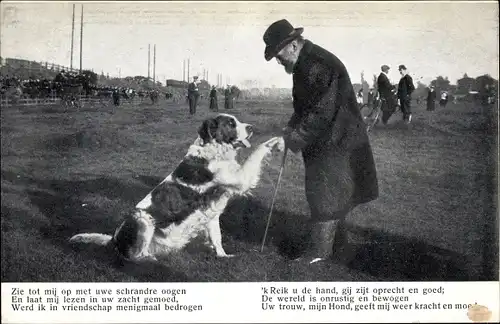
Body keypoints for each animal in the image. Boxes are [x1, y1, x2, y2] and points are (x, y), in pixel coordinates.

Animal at [69, 113, 286, 260]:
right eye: (231, 123)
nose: (251, 127)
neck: (213, 149)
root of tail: (114, 238)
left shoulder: (211, 212)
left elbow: (217, 237)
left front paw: (223, 256)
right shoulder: (240, 178)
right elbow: (258, 151)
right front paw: (275, 141)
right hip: (142, 219)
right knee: (133, 257)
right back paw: (149, 261)